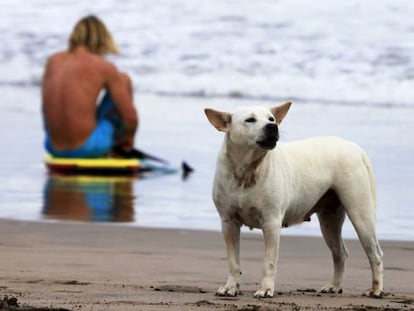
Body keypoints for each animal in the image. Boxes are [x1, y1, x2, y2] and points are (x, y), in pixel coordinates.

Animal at [205, 103, 384, 300]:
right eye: (250, 120)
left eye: (271, 119)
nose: (272, 127)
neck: (247, 170)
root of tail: (355, 148)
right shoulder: (228, 222)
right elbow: (233, 261)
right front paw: (230, 287)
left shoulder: (271, 223)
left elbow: (269, 262)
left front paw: (266, 289)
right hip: (330, 219)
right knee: (340, 253)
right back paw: (334, 286)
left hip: (360, 213)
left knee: (374, 253)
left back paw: (376, 289)